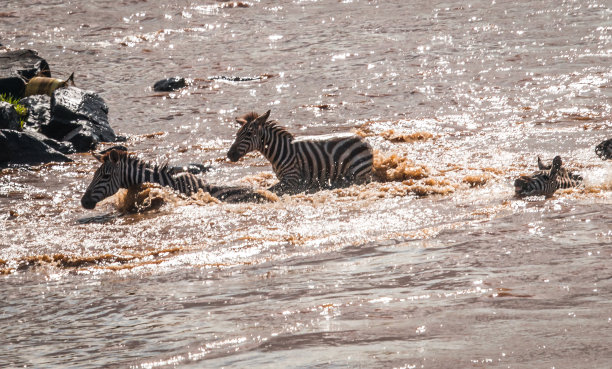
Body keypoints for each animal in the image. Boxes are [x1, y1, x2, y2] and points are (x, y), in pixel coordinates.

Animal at [227, 109, 372, 194]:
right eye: (237, 134)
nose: (229, 154)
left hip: (356, 173)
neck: (281, 150)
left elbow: (270, 190)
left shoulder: (292, 180)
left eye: (248, 134)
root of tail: (363, 140)